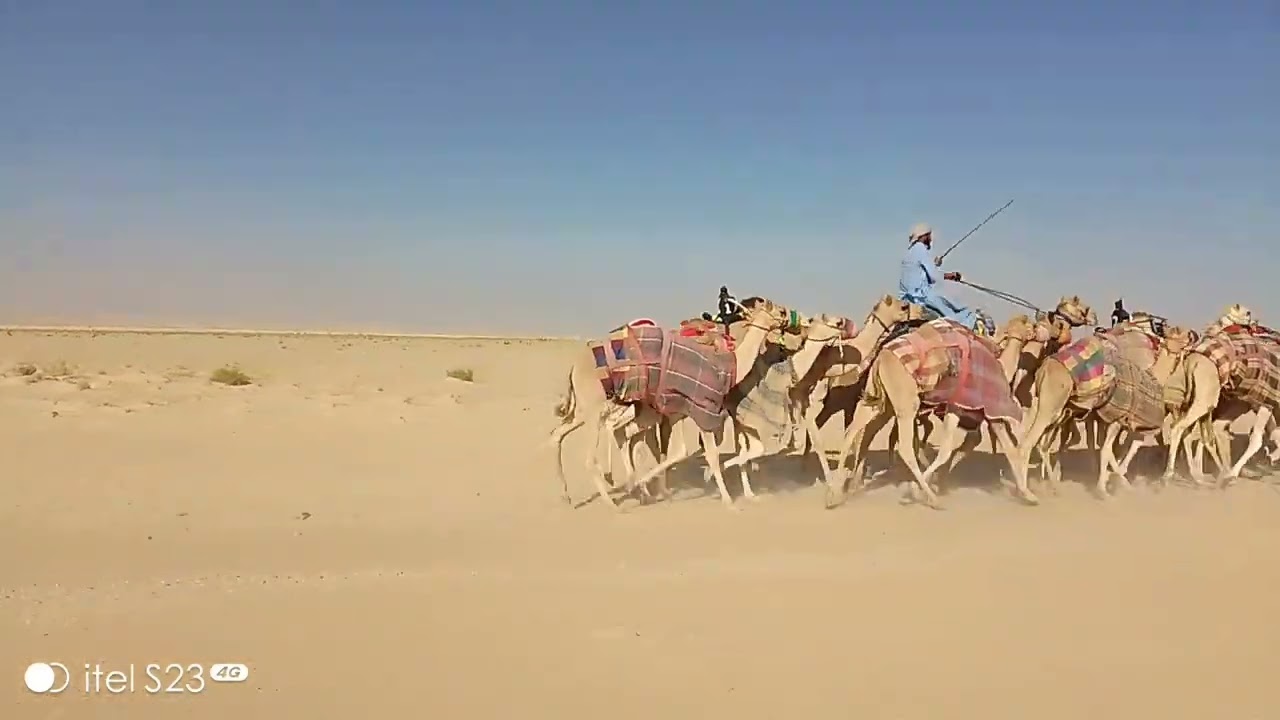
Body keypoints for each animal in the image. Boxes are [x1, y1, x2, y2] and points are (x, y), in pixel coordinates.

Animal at [824, 315, 1038, 509]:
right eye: (1028, 323)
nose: (1038, 328)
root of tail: (882, 355)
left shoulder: (988, 416)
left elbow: (1009, 450)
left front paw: (1027, 495)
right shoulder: (960, 407)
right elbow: (946, 449)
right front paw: (919, 488)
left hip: (878, 400)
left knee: (855, 431)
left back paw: (837, 494)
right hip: (905, 400)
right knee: (903, 446)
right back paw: (932, 499)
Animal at [1019, 322, 1193, 498]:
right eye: (1181, 331)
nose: (1194, 335)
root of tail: (1044, 368)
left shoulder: (1107, 421)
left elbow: (1106, 450)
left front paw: (1116, 482)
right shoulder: (1117, 420)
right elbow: (1106, 451)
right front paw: (1104, 489)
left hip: (1058, 410)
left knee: (1043, 444)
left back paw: (1052, 485)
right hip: (1051, 404)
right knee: (1029, 442)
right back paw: (1028, 494)